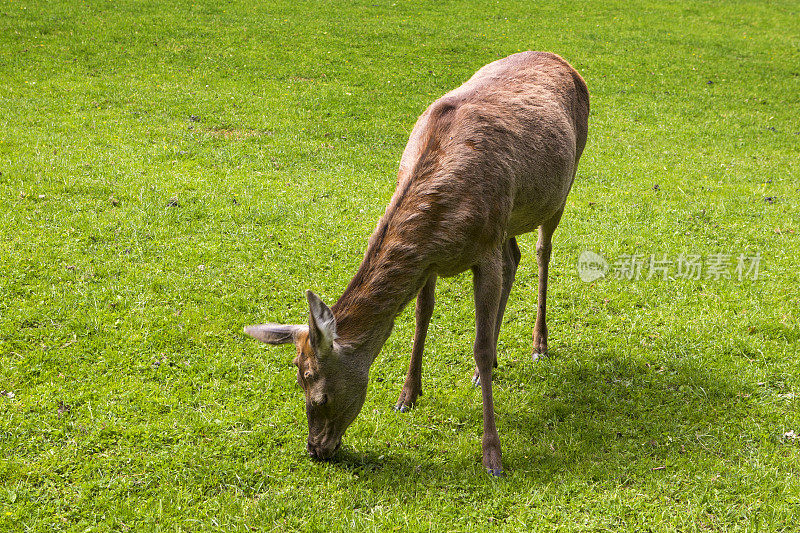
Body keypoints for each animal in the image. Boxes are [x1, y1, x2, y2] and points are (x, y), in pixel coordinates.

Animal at [247, 51, 592, 474]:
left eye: (319, 394)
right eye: (298, 381)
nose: (316, 450)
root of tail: (561, 60)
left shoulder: (484, 249)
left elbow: (477, 344)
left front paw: (492, 453)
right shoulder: (430, 260)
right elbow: (421, 315)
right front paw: (407, 395)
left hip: (561, 187)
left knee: (543, 251)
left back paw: (538, 344)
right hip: (509, 217)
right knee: (515, 257)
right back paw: (490, 365)